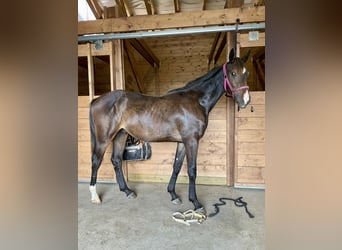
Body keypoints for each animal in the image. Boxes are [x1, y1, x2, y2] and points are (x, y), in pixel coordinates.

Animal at [87, 48, 251, 213]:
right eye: (233, 73)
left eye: (247, 73)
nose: (245, 101)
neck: (197, 101)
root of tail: (96, 100)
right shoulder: (192, 141)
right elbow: (192, 170)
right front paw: (196, 203)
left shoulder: (183, 142)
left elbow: (177, 166)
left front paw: (173, 195)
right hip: (104, 139)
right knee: (96, 161)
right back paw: (94, 196)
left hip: (121, 134)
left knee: (116, 160)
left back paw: (127, 191)